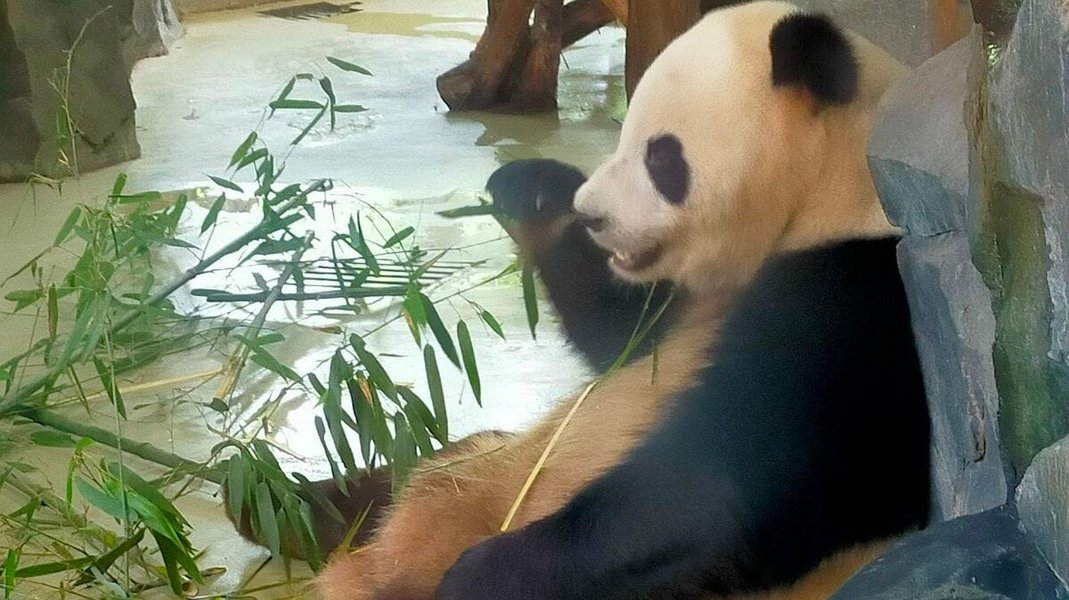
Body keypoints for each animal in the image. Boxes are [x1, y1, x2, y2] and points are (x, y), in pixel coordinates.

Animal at [315, 2, 930, 599]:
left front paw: (480, 576)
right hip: (479, 472)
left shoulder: (862, 299)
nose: (591, 215)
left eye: (661, 157)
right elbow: (620, 336)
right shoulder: (687, 302)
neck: (826, 194)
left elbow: (727, 490)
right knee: (436, 473)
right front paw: (535, 194)